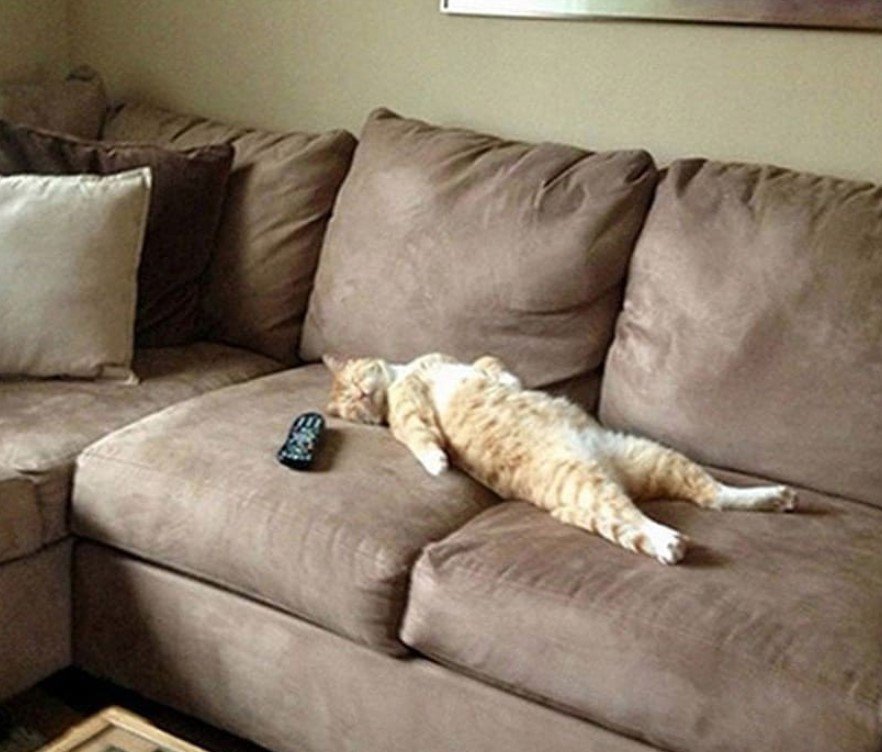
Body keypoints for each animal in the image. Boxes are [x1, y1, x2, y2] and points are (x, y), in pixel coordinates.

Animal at [322, 354, 792, 564]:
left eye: (353, 383)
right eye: (350, 404)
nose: (361, 396)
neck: (402, 375)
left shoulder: (450, 366)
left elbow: (491, 365)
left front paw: (508, 379)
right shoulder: (410, 412)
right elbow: (421, 436)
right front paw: (438, 462)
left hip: (651, 455)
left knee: (715, 495)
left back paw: (775, 496)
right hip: (595, 483)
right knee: (638, 518)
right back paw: (668, 542)